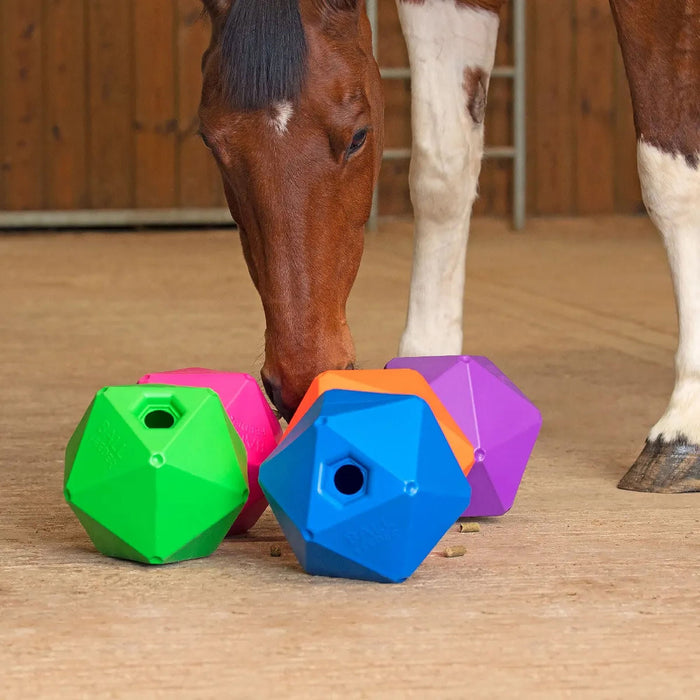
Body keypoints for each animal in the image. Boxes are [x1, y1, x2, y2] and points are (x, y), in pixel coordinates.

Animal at [198, 0, 699, 494]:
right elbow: (442, 171)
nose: (302, 378)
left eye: (359, 137)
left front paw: (684, 425)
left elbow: (669, 173)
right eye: (211, 144)